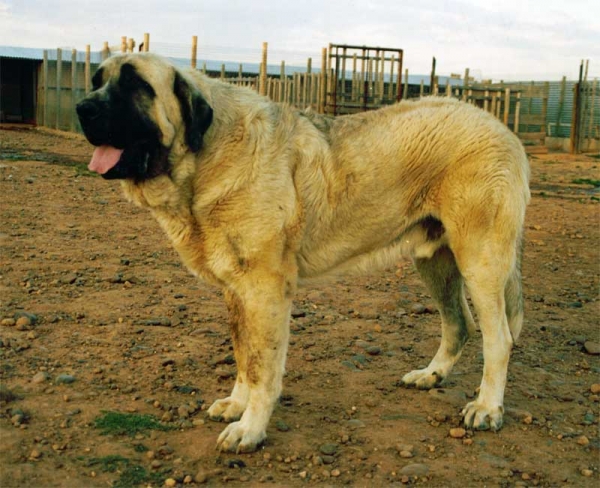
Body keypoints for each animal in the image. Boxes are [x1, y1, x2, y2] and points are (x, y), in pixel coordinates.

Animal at [78, 53, 528, 454]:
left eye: (136, 85)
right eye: (97, 80)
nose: (83, 108)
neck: (209, 154)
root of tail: (502, 127)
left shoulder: (266, 290)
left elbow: (263, 368)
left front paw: (250, 429)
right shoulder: (237, 291)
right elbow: (244, 356)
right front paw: (237, 404)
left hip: (480, 260)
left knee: (499, 338)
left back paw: (487, 407)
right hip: (434, 262)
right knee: (459, 324)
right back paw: (431, 375)